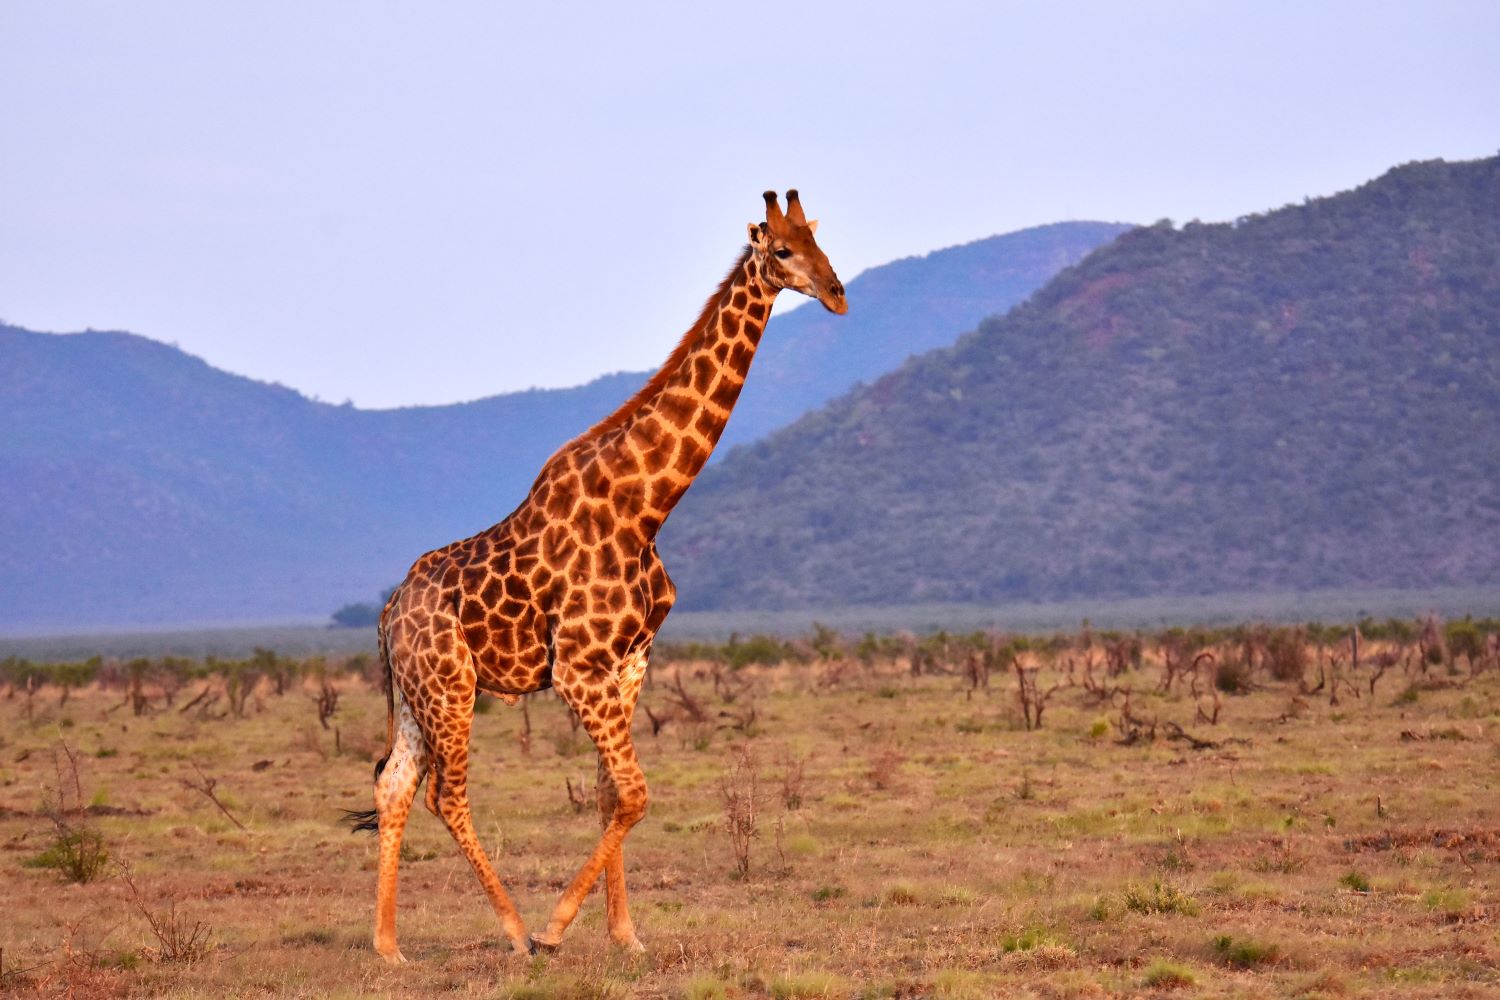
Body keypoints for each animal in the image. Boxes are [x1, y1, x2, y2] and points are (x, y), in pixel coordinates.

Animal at [347, 190, 846, 963]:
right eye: (783, 251)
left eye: (824, 244)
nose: (837, 293)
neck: (646, 507)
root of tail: (389, 610)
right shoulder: (578, 666)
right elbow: (637, 793)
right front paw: (556, 929)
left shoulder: (632, 659)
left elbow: (614, 794)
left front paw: (625, 935)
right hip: (449, 685)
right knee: (445, 795)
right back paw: (515, 930)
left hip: (413, 691)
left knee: (395, 784)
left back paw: (389, 946)